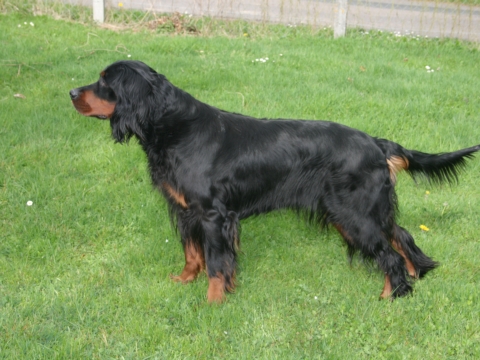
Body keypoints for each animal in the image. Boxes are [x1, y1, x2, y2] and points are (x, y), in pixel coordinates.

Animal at [69, 60, 478, 302]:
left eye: (105, 82)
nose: (72, 93)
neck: (174, 127)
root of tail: (376, 143)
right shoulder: (186, 211)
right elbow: (192, 252)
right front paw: (185, 281)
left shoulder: (213, 215)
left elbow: (216, 262)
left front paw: (213, 302)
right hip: (362, 210)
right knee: (401, 235)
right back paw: (414, 276)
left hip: (354, 214)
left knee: (388, 253)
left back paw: (391, 295)